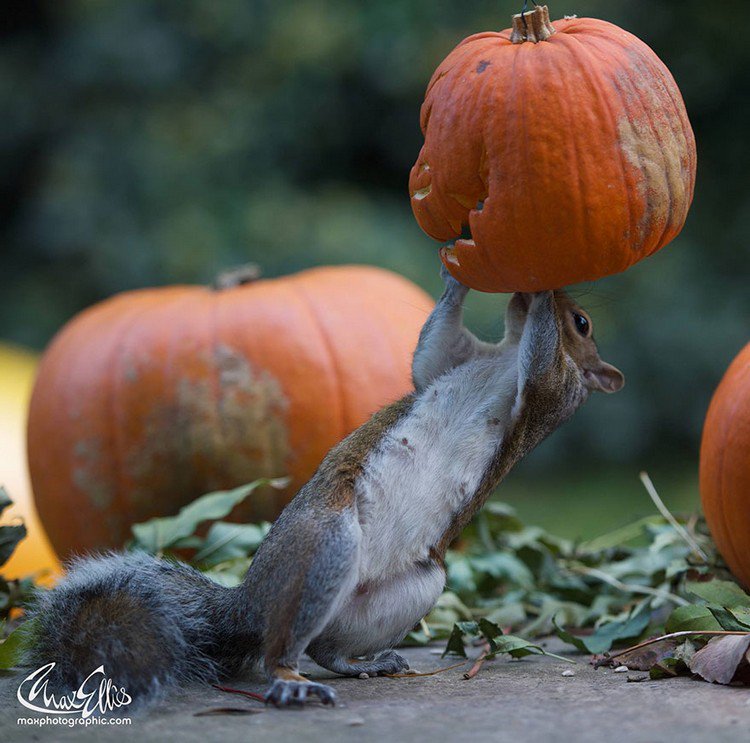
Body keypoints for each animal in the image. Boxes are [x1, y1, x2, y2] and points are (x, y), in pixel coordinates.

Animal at [26, 268, 624, 708]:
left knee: (299, 650)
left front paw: (541, 286)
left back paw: (312, 675)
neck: (505, 354)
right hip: (339, 554)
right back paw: (360, 664)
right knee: (317, 645)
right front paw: (458, 267)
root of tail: (247, 607)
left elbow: (542, 365)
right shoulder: (449, 361)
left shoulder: (550, 392)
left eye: (582, 322)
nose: (527, 294)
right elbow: (433, 347)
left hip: (346, 552)